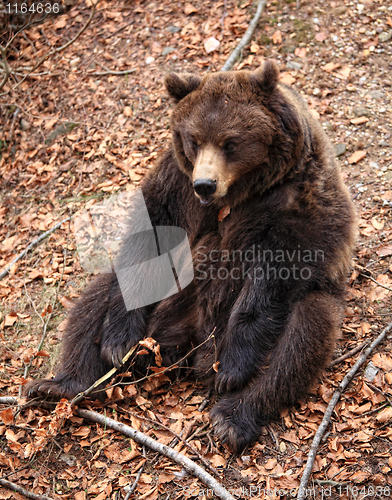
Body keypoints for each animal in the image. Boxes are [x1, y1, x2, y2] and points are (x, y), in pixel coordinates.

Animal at [24, 60, 356, 452]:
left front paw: (234, 367)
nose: (205, 184)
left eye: (231, 142)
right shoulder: (176, 181)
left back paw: (233, 416)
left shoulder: (297, 199)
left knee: (305, 331)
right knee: (99, 292)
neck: (242, 191)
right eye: (194, 140)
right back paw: (59, 384)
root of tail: (191, 351)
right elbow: (151, 231)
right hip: (167, 303)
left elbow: (278, 275)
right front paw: (117, 343)